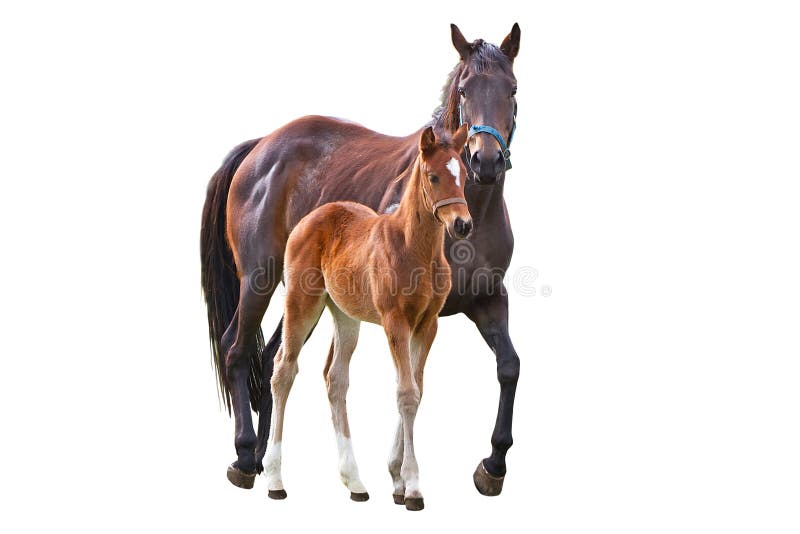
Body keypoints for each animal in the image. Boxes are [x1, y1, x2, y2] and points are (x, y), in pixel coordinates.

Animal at [266, 124, 472, 510]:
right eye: (433, 176)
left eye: (464, 175)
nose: (463, 224)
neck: (415, 250)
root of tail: (309, 218)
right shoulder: (396, 322)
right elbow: (406, 393)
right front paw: (413, 486)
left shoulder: (428, 324)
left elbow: (418, 389)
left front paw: (397, 479)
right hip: (301, 302)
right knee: (284, 370)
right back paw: (274, 479)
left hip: (345, 317)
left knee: (335, 379)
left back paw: (355, 482)